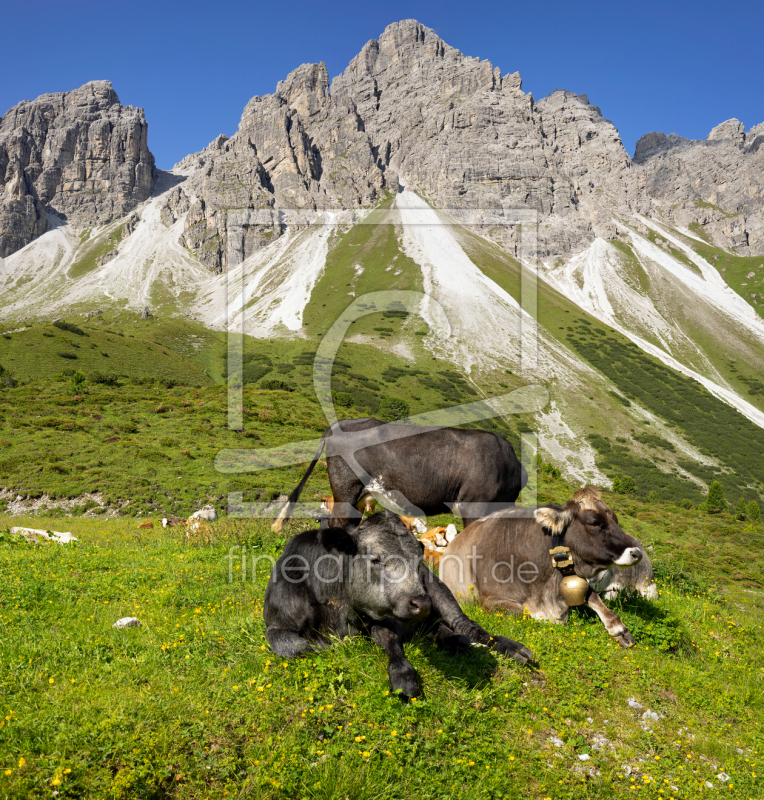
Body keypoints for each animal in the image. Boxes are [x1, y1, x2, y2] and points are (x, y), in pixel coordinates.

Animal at [266, 510, 536, 696]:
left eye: (417, 559)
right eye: (375, 559)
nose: (422, 603)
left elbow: (389, 640)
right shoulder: (276, 626)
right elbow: (301, 648)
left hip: (441, 592)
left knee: (467, 626)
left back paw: (511, 648)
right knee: (441, 631)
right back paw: (454, 640)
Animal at [442, 488, 644, 648]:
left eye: (616, 520)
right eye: (594, 522)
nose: (637, 553)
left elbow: (593, 596)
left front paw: (619, 629)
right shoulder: (490, 600)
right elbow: (527, 616)